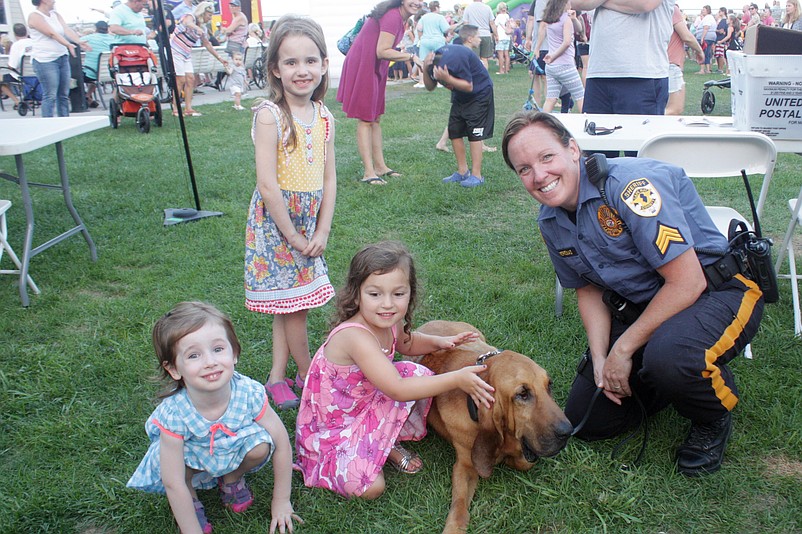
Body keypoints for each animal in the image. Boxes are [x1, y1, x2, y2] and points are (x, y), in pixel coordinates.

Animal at [416, 320, 572, 532]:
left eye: (549, 385)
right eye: (523, 394)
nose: (568, 432)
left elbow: (524, 461)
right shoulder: (465, 465)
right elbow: (459, 505)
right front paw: (453, 528)